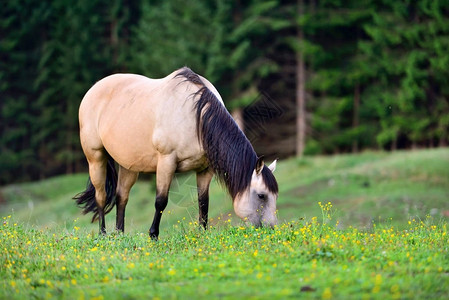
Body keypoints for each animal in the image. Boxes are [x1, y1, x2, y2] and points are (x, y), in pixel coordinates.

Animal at [73, 67, 276, 238]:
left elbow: (203, 202)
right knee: (101, 196)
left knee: (121, 197)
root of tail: (94, 89)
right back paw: (103, 235)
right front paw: (153, 235)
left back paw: (119, 236)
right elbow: (161, 201)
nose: (271, 230)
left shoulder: (205, 170)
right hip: (95, 158)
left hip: (129, 165)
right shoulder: (166, 162)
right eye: (261, 195)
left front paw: (202, 233)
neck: (196, 118)